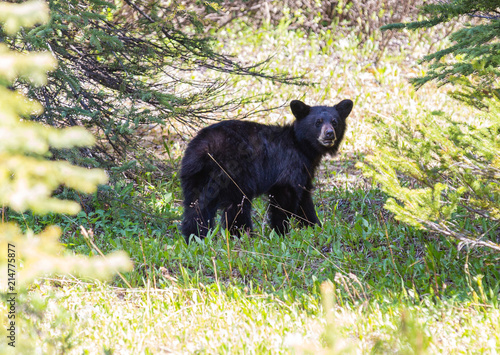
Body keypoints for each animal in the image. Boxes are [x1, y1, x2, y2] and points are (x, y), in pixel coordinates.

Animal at [179, 101, 352, 243]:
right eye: (318, 122)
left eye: (335, 122)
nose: (329, 134)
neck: (302, 147)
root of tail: (204, 149)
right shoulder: (289, 164)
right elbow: (285, 198)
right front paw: (281, 232)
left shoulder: (305, 171)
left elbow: (305, 200)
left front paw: (314, 226)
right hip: (234, 173)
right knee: (237, 207)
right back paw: (244, 234)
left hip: (196, 176)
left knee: (197, 207)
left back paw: (195, 236)